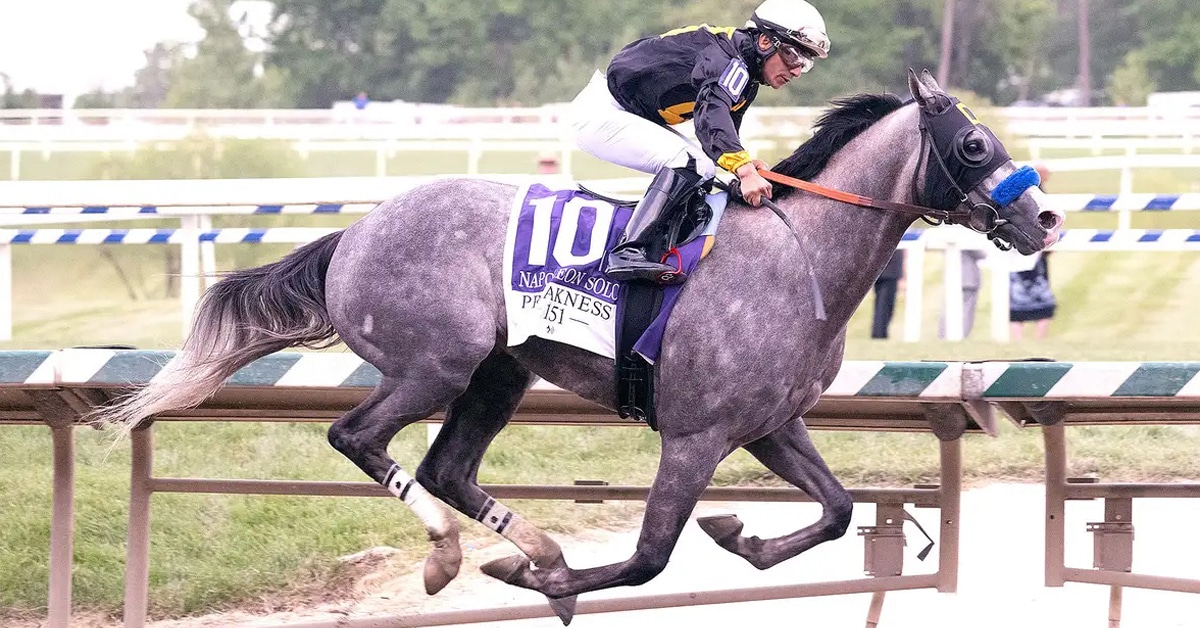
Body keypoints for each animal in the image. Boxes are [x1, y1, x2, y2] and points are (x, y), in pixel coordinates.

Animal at [94, 70, 1063, 624]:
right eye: (975, 143)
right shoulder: (696, 435)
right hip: (436, 363)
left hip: (498, 374)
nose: (1046, 218)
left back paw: (535, 546)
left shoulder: (769, 426)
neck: (799, 254)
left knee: (447, 466)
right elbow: (649, 558)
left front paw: (739, 535)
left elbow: (835, 510)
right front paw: (552, 585)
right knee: (358, 438)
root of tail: (356, 233)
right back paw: (454, 554)